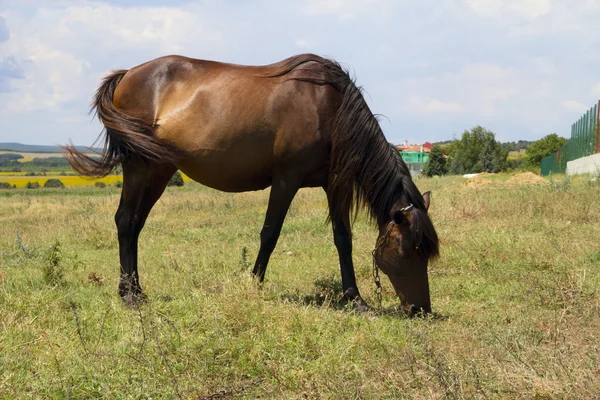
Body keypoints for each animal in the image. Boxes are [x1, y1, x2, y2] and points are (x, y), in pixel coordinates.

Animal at [64, 54, 440, 316]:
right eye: (406, 251)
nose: (420, 309)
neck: (329, 108)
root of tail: (127, 74)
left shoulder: (335, 185)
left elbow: (342, 239)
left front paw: (355, 299)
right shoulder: (286, 179)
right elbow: (270, 234)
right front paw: (254, 285)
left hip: (159, 169)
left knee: (135, 225)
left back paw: (138, 291)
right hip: (139, 167)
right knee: (126, 222)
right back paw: (129, 296)